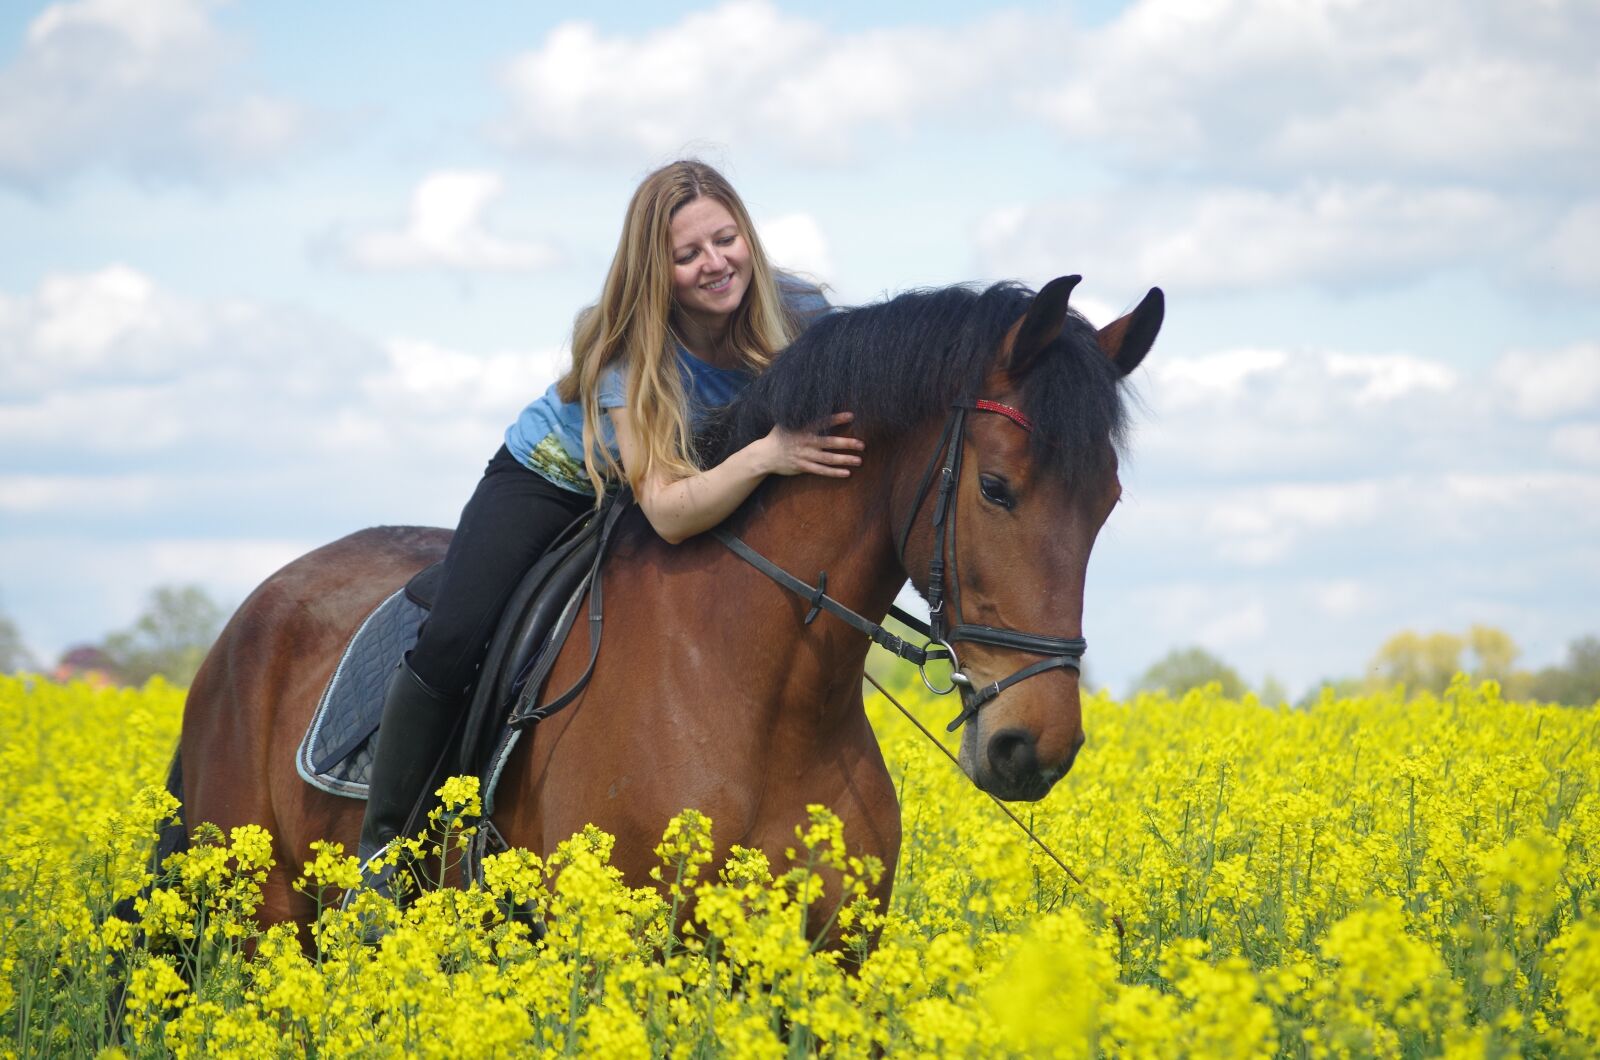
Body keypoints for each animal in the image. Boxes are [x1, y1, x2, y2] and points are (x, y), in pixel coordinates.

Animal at [177, 274, 1163, 937]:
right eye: (997, 489)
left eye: (1109, 501)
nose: (1034, 748)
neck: (760, 690)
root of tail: (250, 615)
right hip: (261, 918)